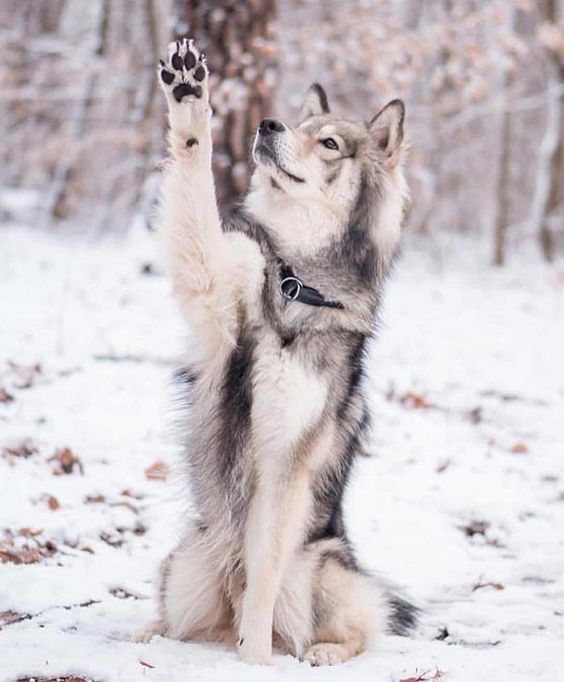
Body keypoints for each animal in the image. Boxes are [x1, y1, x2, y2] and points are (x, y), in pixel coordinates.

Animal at [142, 37, 417, 666]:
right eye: (298, 124)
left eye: (330, 143)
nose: (268, 125)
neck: (294, 285)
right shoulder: (211, 287)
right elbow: (194, 177)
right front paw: (189, 96)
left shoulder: (286, 462)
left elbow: (263, 574)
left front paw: (256, 662)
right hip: (188, 562)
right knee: (179, 620)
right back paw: (148, 635)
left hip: (324, 570)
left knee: (362, 626)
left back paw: (321, 652)